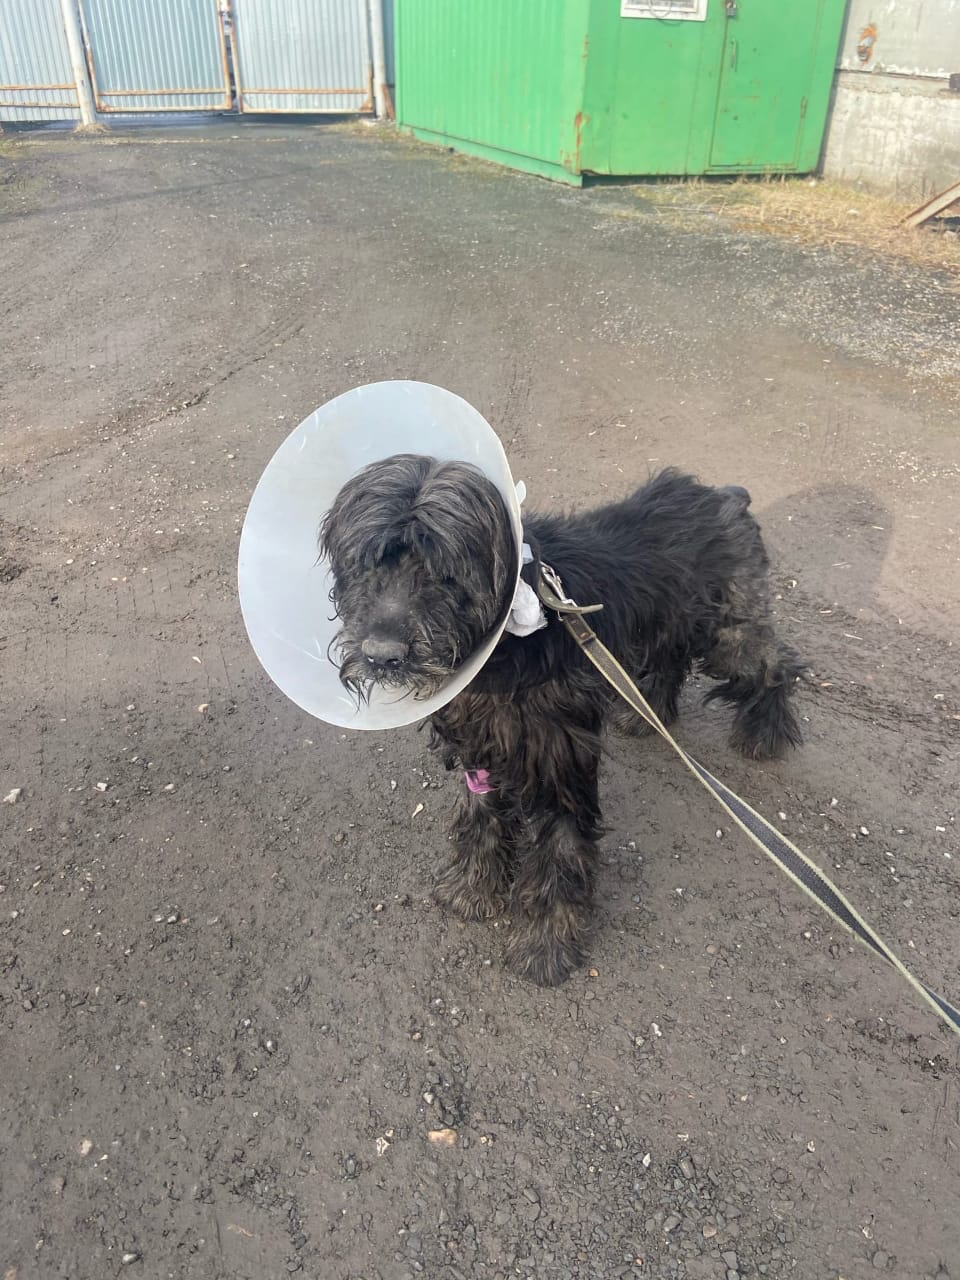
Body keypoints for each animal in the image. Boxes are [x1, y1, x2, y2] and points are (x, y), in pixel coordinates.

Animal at [319, 455, 804, 986]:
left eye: (444, 571)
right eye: (365, 562)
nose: (381, 656)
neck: (510, 644)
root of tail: (725, 495)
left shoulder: (559, 762)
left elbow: (559, 851)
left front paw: (545, 945)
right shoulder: (480, 748)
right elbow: (480, 818)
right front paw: (472, 888)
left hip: (729, 632)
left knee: (775, 664)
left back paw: (765, 731)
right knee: (672, 657)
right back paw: (647, 713)